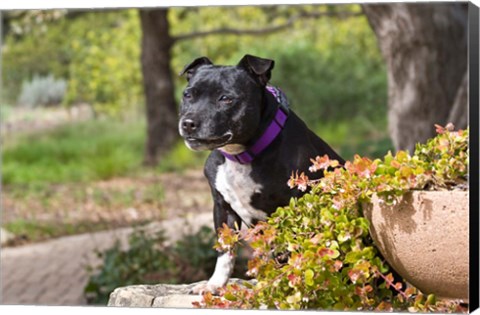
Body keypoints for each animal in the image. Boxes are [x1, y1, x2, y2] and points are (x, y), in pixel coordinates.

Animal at [180, 53, 344, 294]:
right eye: (188, 94)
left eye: (226, 98)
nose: (188, 123)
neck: (240, 155)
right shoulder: (223, 207)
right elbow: (225, 250)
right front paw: (215, 284)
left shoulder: (295, 207)